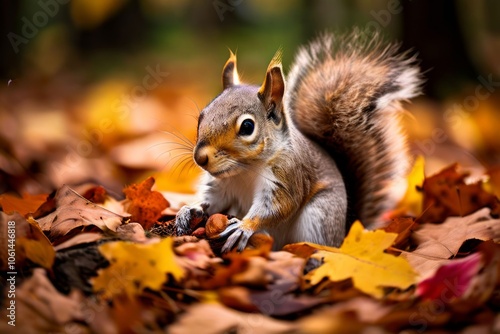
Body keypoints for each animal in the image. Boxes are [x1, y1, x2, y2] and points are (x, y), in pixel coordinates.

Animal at [176, 30, 422, 250]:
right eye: (202, 115)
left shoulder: (288, 176)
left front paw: (244, 227)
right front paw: (190, 209)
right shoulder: (223, 187)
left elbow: (279, 207)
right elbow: (214, 201)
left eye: (247, 127)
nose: (200, 157)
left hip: (319, 215)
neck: (245, 171)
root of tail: (343, 235)